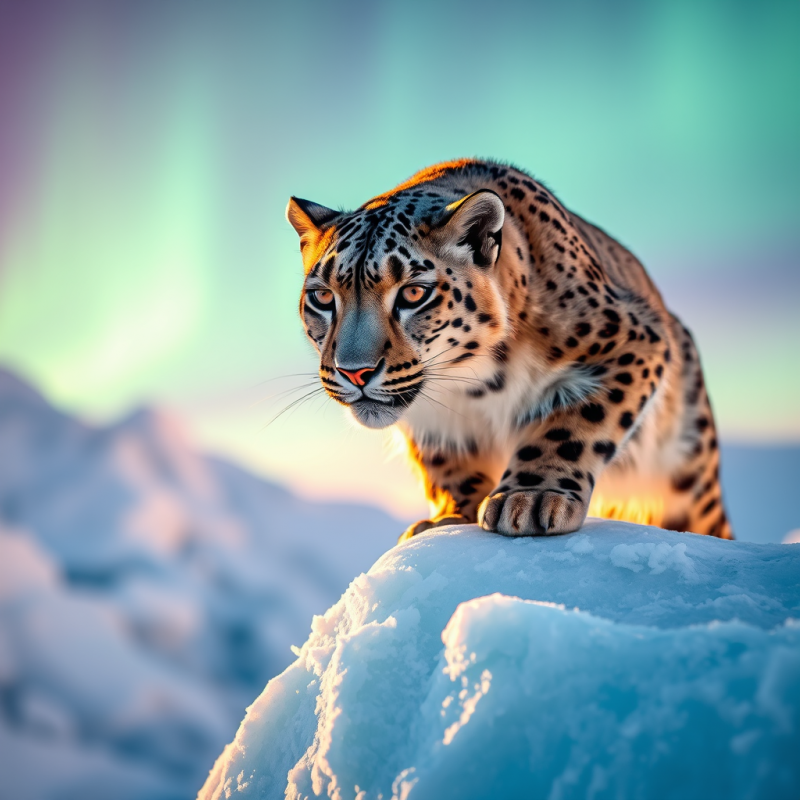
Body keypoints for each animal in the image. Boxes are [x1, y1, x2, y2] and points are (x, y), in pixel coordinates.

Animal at [286, 159, 733, 542]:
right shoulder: (434, 424)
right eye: (323, 297)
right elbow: (448, 463)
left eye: (414, 293)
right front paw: (451, 517)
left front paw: (531, 498)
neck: (474, 387)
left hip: (689, 475)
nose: (354, 371)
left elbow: (573, 421)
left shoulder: (632, 341)